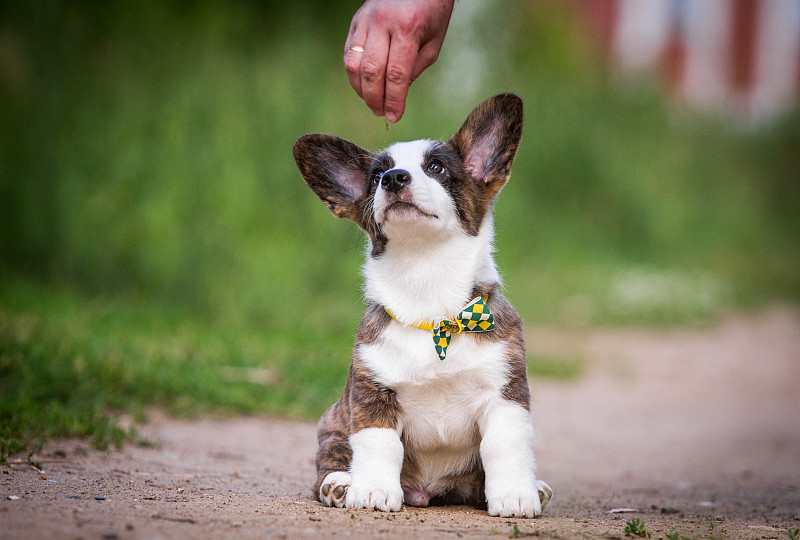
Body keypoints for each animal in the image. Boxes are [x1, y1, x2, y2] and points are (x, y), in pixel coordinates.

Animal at [292, 94, 552, 520]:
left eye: (436, 167)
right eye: (376, 176)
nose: (394, 178)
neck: (429, 294)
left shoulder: (505, 395)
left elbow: (504, 445)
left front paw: (515, 495)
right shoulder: (373, 394)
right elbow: (379, 444)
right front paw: (373, 490)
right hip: (332, 423)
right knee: (332, 458)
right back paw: (340, 484)